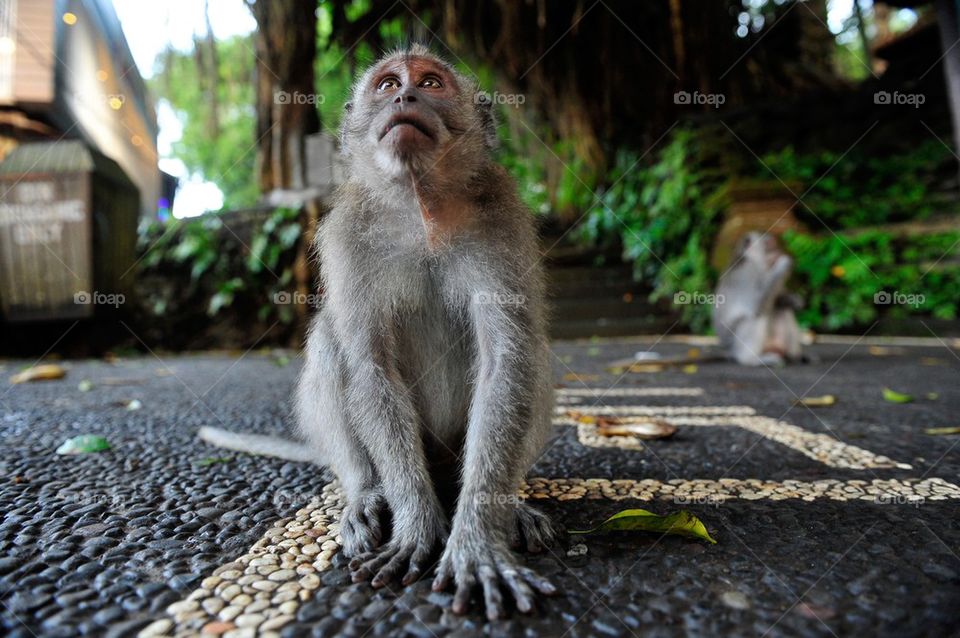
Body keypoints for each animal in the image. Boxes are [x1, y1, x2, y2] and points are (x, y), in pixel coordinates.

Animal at [198, 45, 557, 620]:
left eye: (430, 83)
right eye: (388, 85)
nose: (406, 97)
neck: (420, 206)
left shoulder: (502, 221)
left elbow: (508, 361)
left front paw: (478, 540)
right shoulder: (346, 235)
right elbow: (370, 366)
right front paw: (416, 525)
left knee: (533, 353)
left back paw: (514, 505)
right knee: (331, 342)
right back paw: (367, 494)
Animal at [713, 231, 804, 366]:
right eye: (769, 244)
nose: (778, 251)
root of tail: (729, 351)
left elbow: (777, 301)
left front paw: (794, 300)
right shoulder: (749, 273)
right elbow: (757, 305)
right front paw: (784, 264)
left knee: (782, 309)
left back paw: (794, 357)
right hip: (735, 343)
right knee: (754, 318)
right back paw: (751, 359)